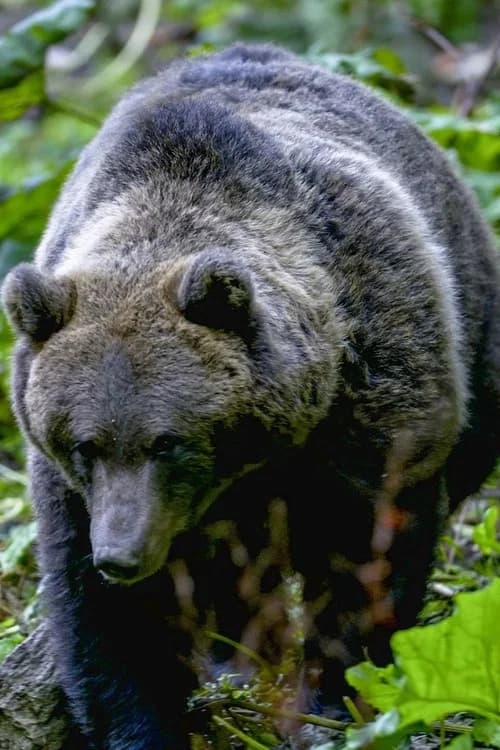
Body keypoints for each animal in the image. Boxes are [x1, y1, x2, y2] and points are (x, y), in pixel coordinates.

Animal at [2, 42, 500, 749]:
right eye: (83, 444)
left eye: (167, 442)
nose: (121, 555)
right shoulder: (75, 496)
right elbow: (104, 620)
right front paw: (143, 722)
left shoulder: (374, 396)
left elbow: (366, 558)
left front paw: (333, 698)